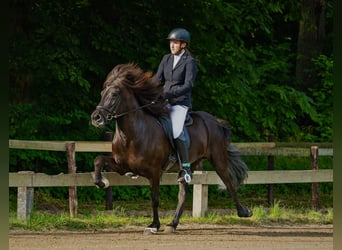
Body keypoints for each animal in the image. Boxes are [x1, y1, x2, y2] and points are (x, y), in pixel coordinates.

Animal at [90, 63, 251, 233]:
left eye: (114, 94)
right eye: (102, 93)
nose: (96, 118)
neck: (133, 134)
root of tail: (215, 121)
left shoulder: (154, 172)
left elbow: (155, 199)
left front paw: (154, 225)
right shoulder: (122, 166)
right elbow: (98, 159)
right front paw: (102, 182)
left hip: (218, 159)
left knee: (229, 182)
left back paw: (243, 212)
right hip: (188, 165)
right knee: (183, 194)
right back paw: (173, 224)